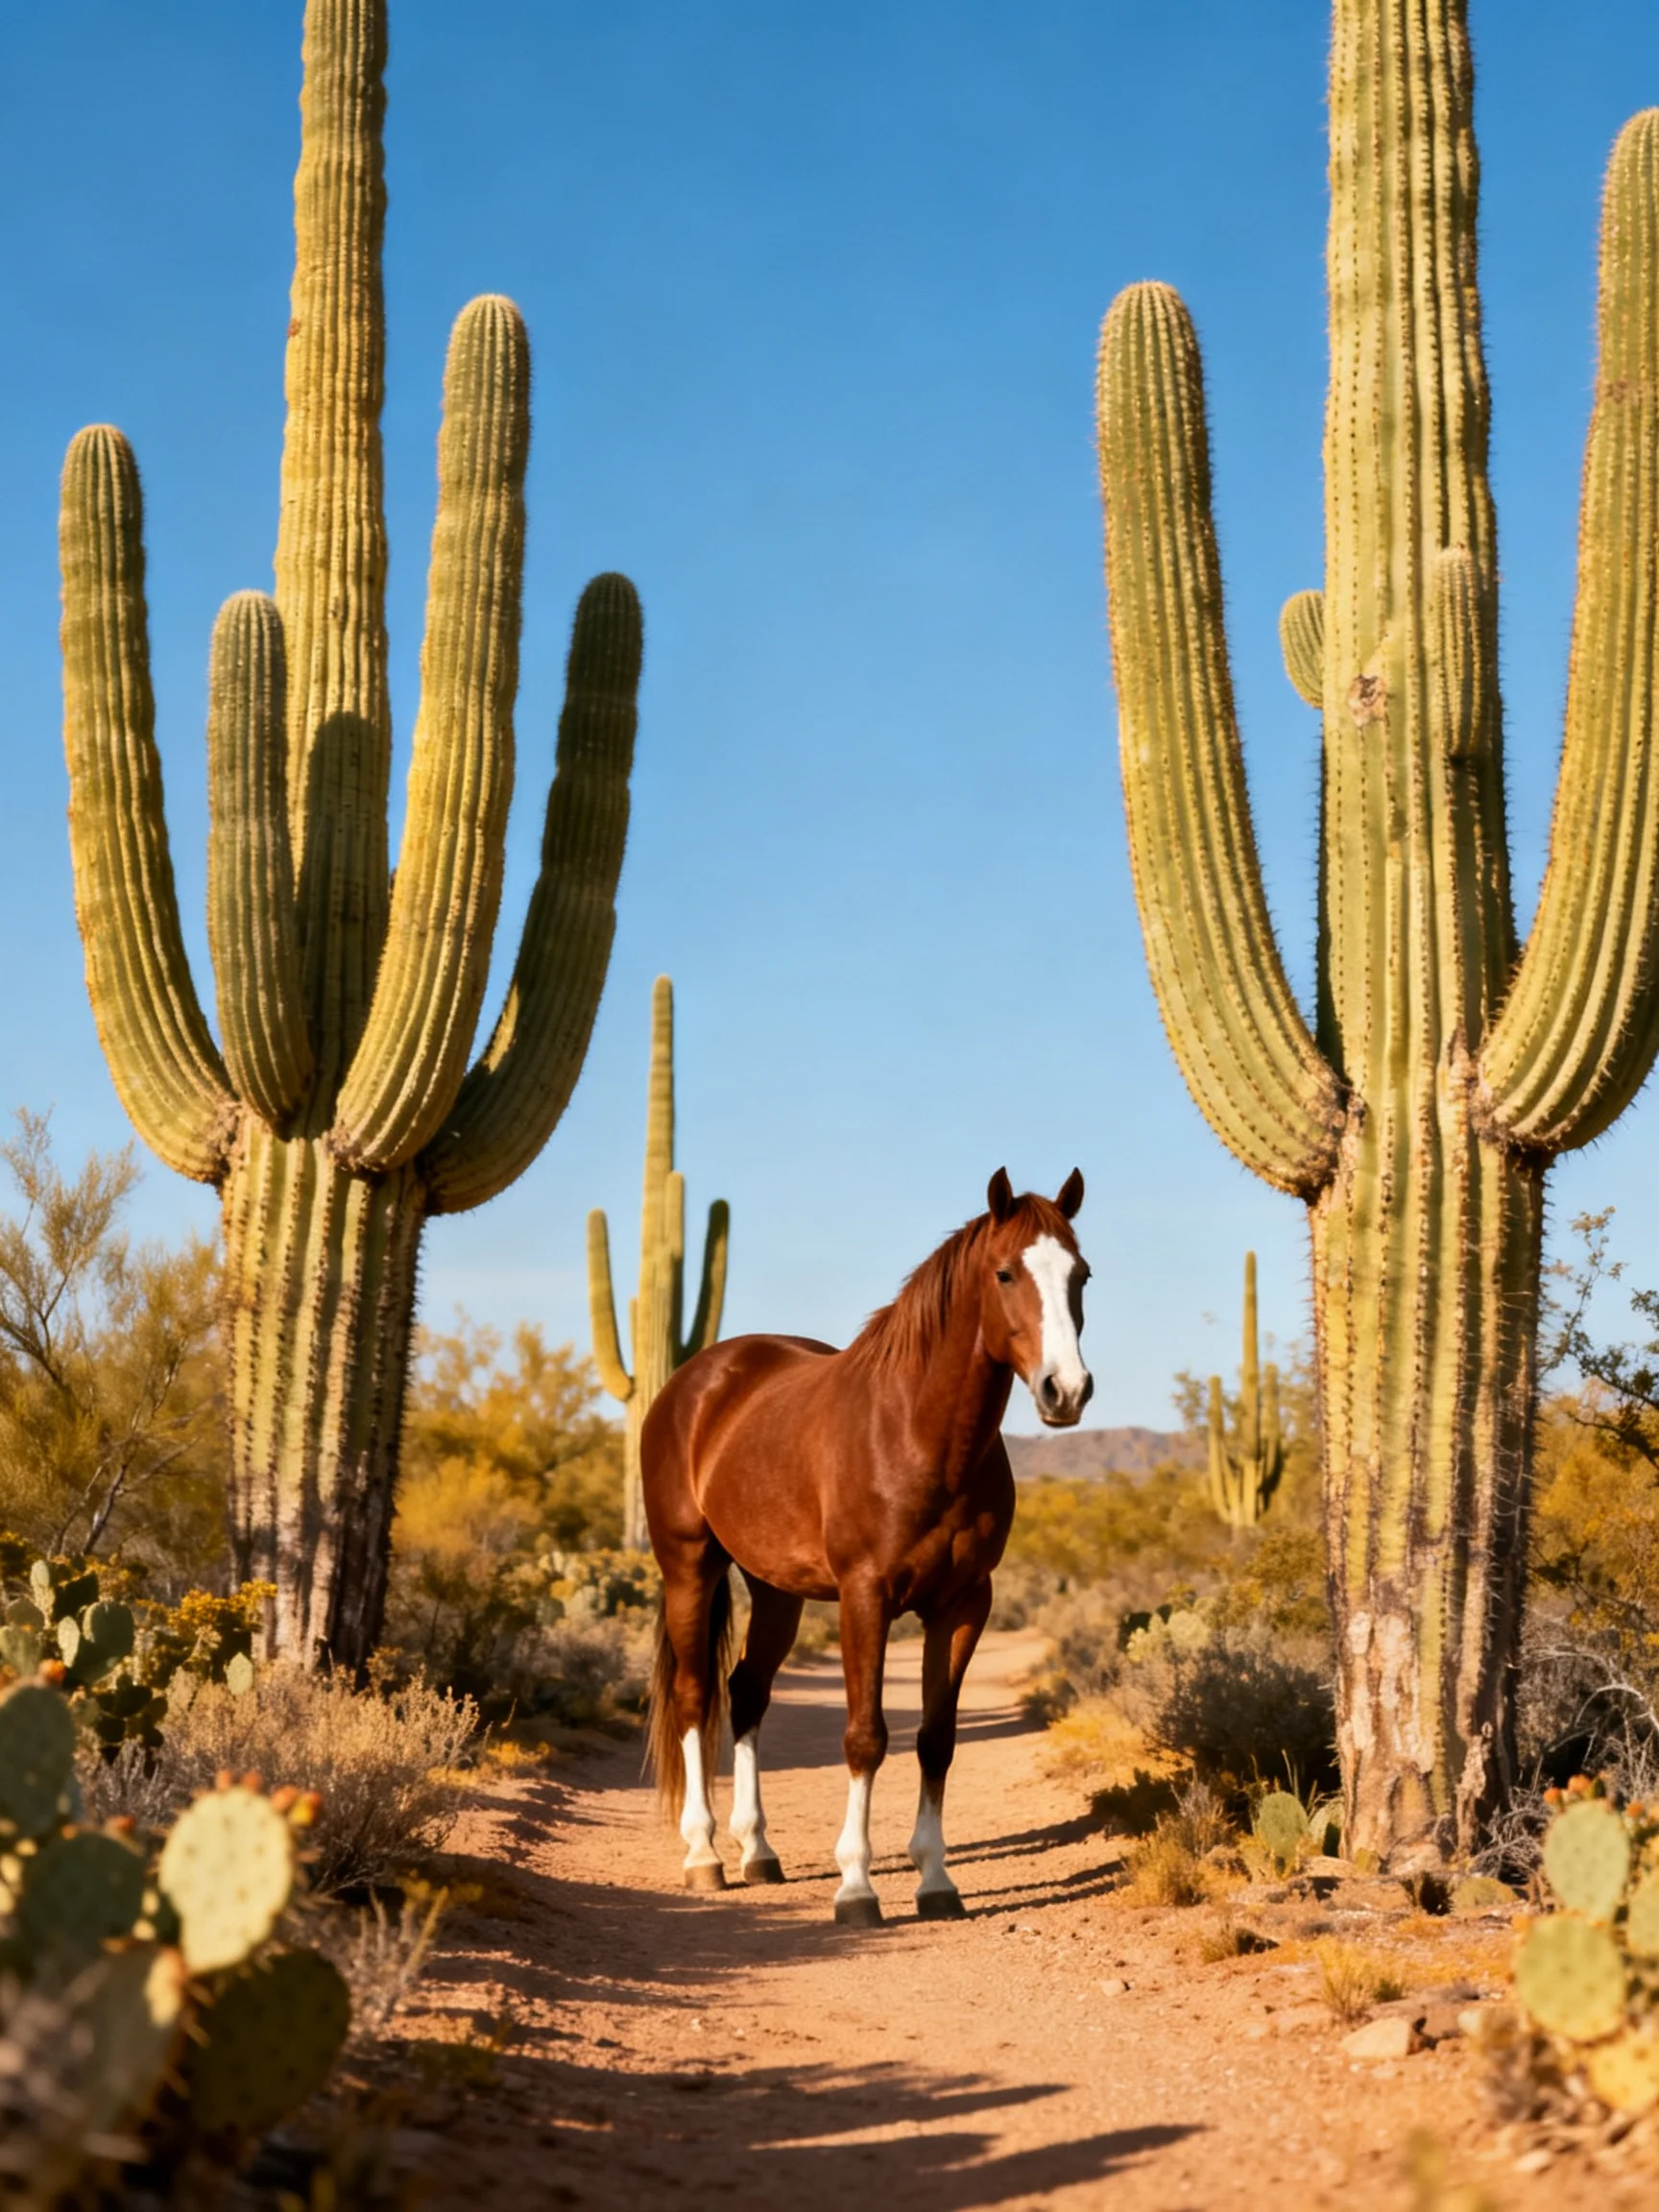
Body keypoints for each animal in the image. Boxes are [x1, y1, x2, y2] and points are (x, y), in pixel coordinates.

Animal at [641, 1167, 1091, 1924]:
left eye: (1080, 1275)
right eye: (1004, 1273)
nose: (1068, 1390)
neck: (916, 1434)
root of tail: (693, 1382)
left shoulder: (964, 1605)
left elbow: (936, 1740)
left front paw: (935, 1879)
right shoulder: (865, 1597)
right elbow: (865, 1736)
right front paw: (856, 1885)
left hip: (777, 1592)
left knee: (747, 1692)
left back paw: (757, 1851)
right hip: (689, 1568)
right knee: (697, 1693)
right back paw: (703, 1855)